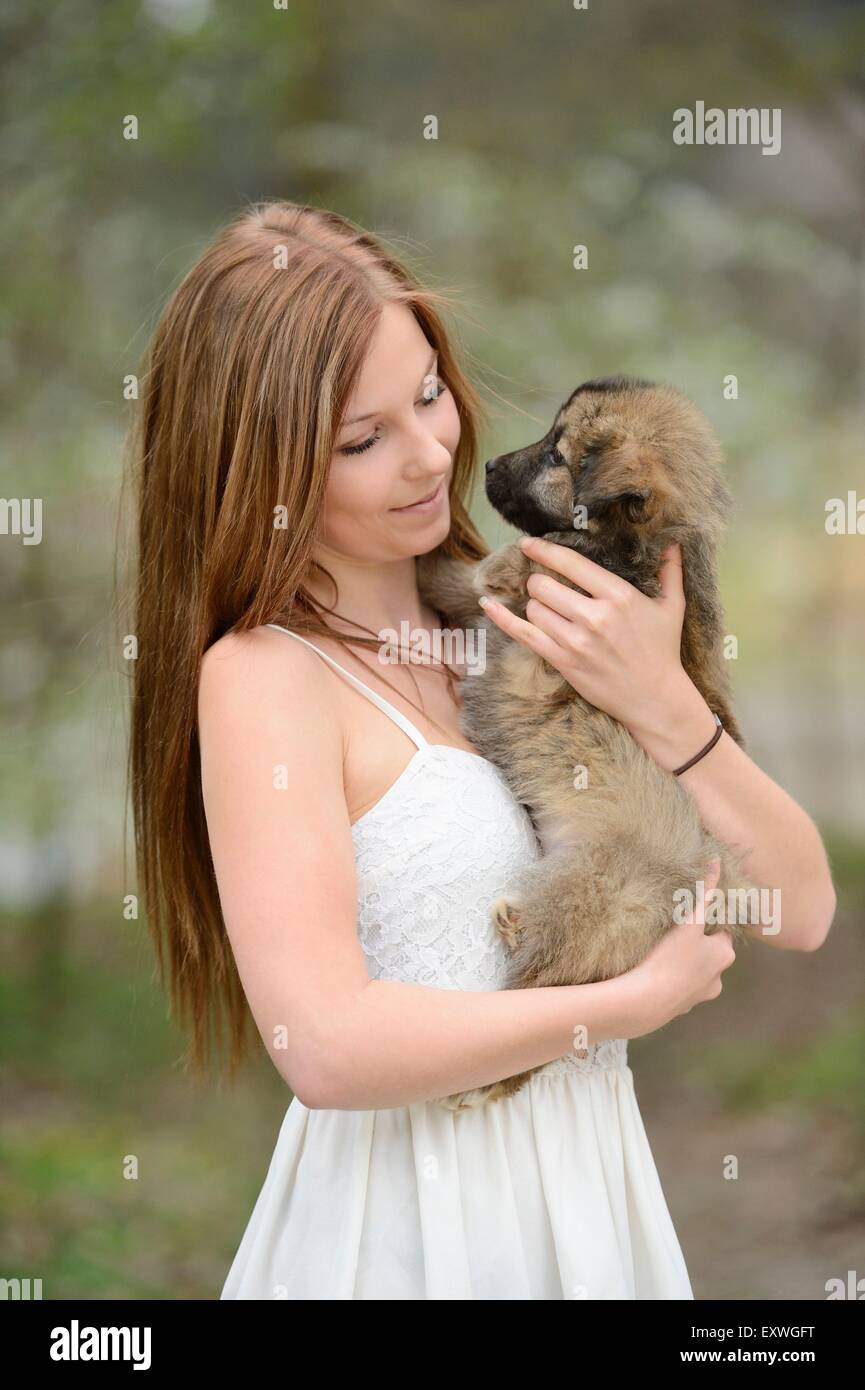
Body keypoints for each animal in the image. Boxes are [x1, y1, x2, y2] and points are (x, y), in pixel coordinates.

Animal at [419, 378, 756, 1106]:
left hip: (587, 906)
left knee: (537, 1005)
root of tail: (690, 877)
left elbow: (478, 571)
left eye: (556, 454)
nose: (489, 466)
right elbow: (456, 580)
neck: (636, 544)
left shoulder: (524, 575)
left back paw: (476, 1082)